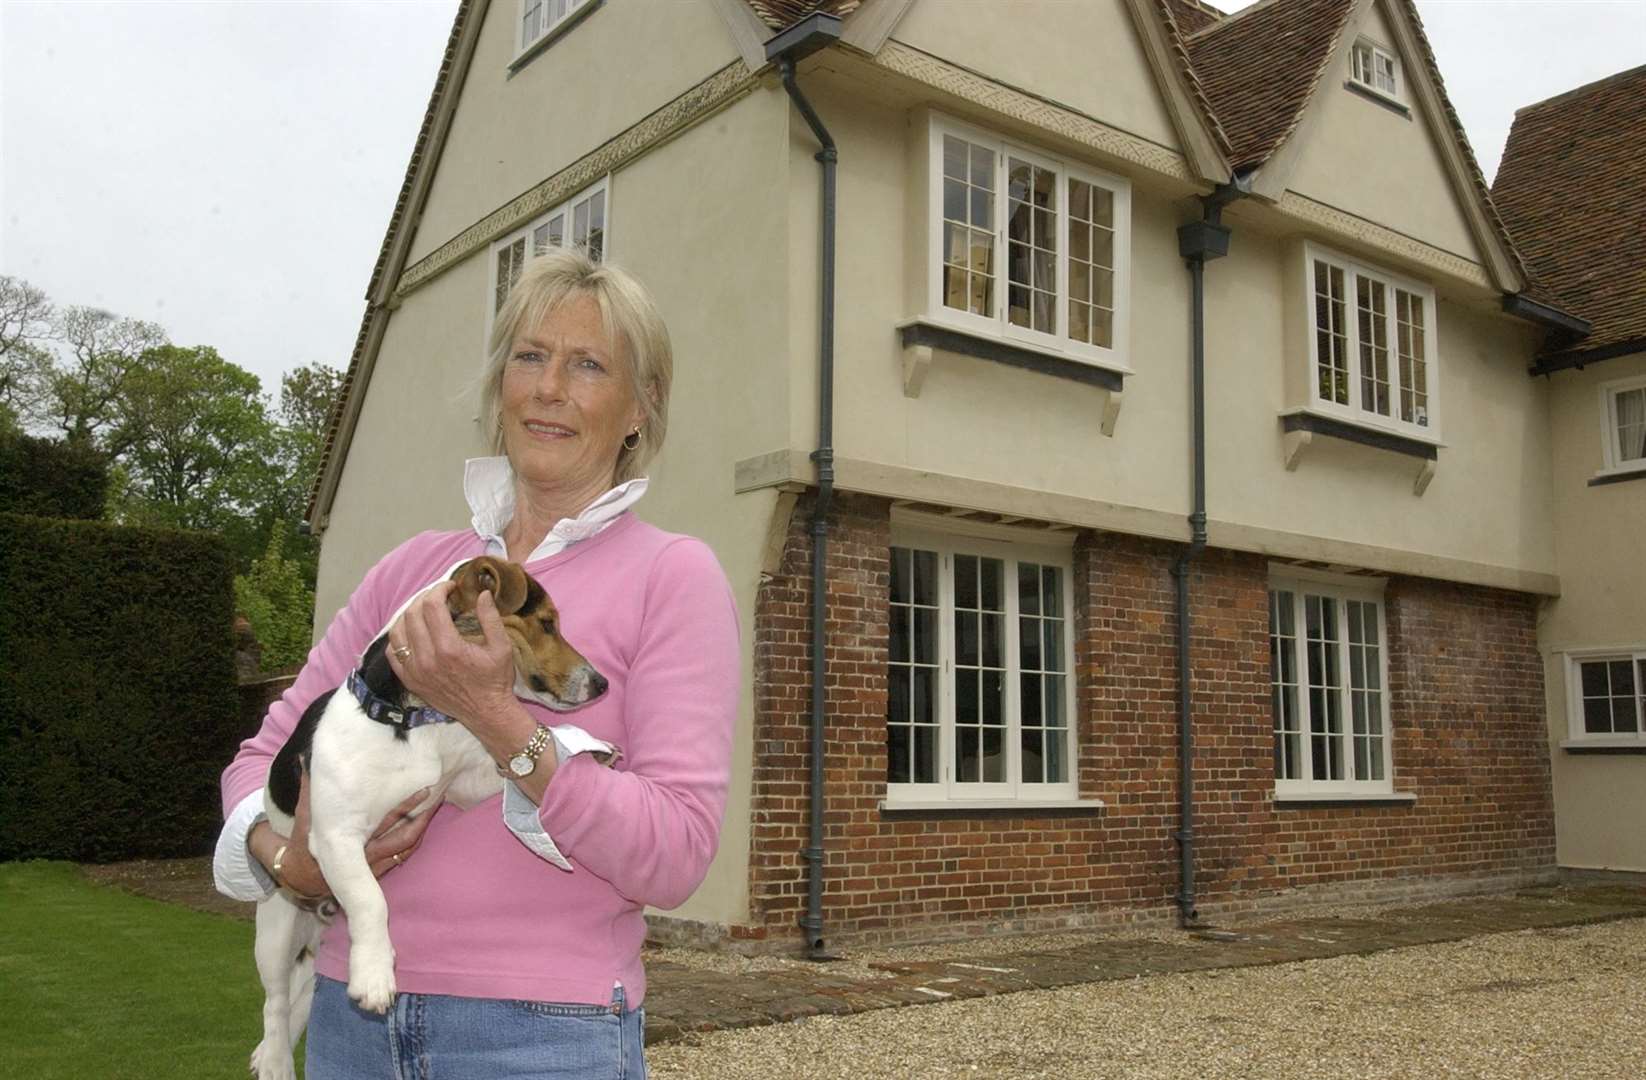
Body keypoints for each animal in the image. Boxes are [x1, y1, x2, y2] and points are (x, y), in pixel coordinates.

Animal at [243, 556, 605, 1080]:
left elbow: (529, 755)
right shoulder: (335, 838)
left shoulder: (471, 782)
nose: (602, 683)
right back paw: (273, 1060)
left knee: (301, 998)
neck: (415, 721)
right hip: (277, 929)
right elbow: (372, 901)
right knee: (273, 1004)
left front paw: (585, 749)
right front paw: (375, 974)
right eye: (547, 623)